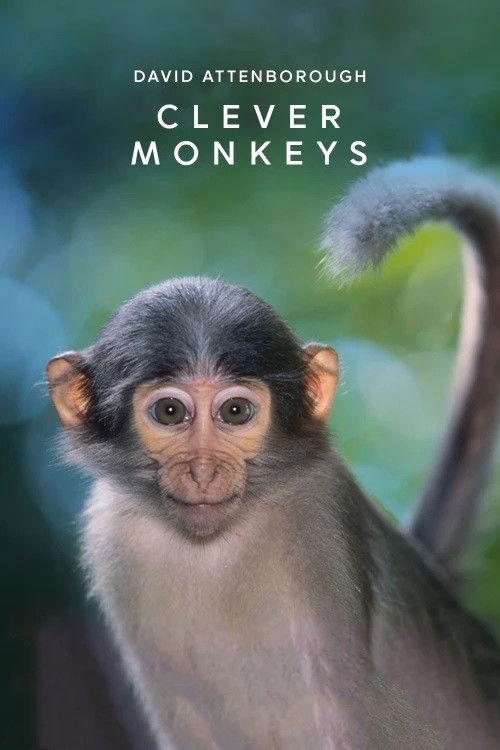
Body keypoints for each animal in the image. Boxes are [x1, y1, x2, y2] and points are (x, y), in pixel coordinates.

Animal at [46, 157, 500, 749]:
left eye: (236, 412)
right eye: (169, 412)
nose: (203, 471)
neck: (214, 552)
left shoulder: (321, 524)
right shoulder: (113, 540)